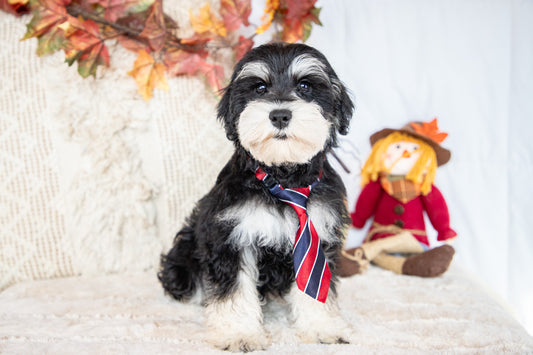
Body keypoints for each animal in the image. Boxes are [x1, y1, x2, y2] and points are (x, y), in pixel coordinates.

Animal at [160, 43, 356, 352]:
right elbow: (235, 290)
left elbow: (316, 287)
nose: (280, 115)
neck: (283, 178)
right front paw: (238, 333)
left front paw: (323, 327)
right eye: (260, 88)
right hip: (184, 256)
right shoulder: (232, 237)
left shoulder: (318, 236)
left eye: (305, 86)